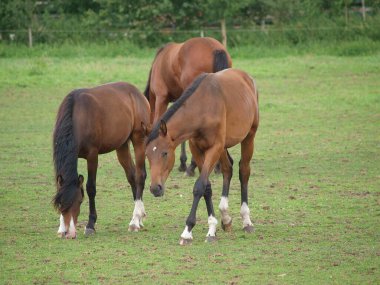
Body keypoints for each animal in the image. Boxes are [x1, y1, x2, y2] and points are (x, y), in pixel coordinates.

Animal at [52, 82, 150, 237]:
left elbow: (91, 188)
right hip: (122, 146)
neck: (77, 116)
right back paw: (139, 218)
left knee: (140, 176)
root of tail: (136, 92)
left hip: (139, 139)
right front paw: (61, 227)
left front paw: (90, 225)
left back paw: (135, 221)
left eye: (80, 201)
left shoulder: (92, 155)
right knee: (132, 176)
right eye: (61, 203)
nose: (70, 232)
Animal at [144, 69, 260, 244]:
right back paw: (226, 217)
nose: (155, 188)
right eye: (147, 155)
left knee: (244, 171)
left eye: (165, 153)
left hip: (249, 137)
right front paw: (212, 228)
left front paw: (187, 231)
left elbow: (199, 186)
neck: (202, 107)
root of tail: (246, 77)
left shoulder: (214, 148)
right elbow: (207, 187)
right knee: (228, 169)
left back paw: (247, 221)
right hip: (224, 147)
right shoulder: (197, 149)